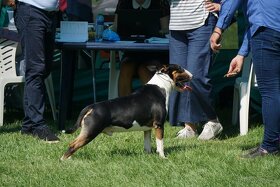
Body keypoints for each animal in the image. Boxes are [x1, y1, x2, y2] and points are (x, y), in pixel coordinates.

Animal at [61, 64, 192, 159]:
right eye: (180, 68)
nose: (192, 75)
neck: (161, 86)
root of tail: (90, 107)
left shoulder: (148, 128)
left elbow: (147, 144)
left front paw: (148, 156)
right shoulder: (159, 125)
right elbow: (160, 144)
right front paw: (163, 157)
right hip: (90, 131)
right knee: (72, 145)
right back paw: (65, 161)